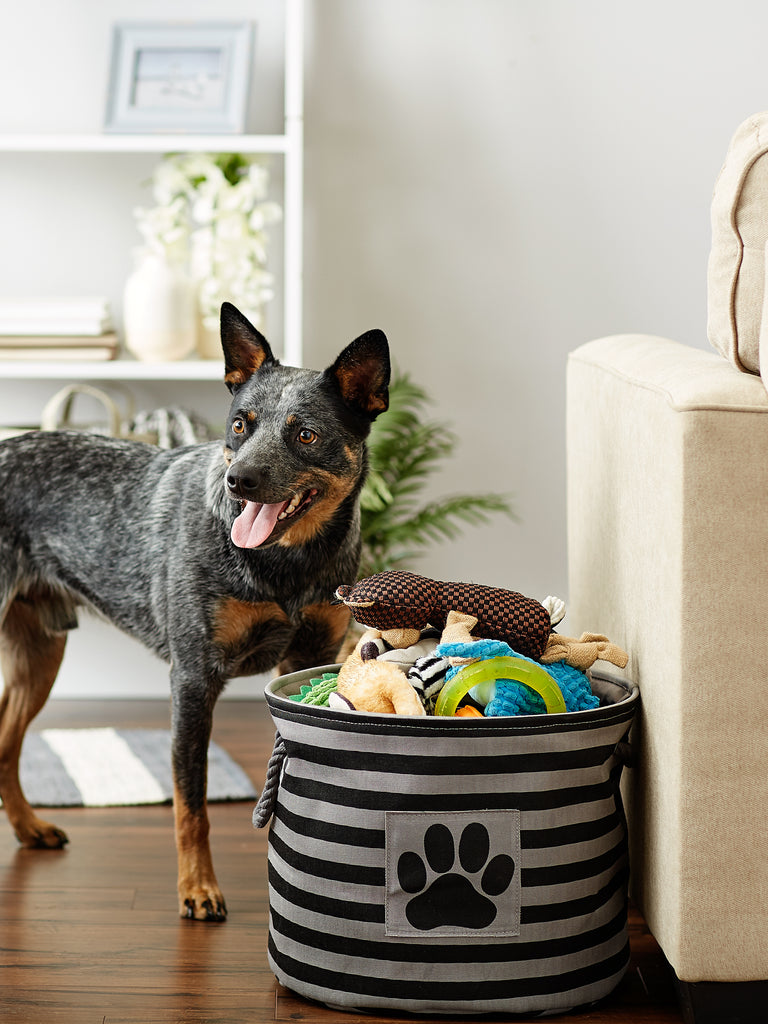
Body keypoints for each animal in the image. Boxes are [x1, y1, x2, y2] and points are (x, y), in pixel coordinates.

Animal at [0, 301, 391, 921]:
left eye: (305, 434)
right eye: (240, 425)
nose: (239, 480)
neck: (286, 565)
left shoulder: (308, 658)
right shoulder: (192, 678)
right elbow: (192, 805)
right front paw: (198, 889)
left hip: (40, 657)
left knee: (5, 746)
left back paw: (29, 827)